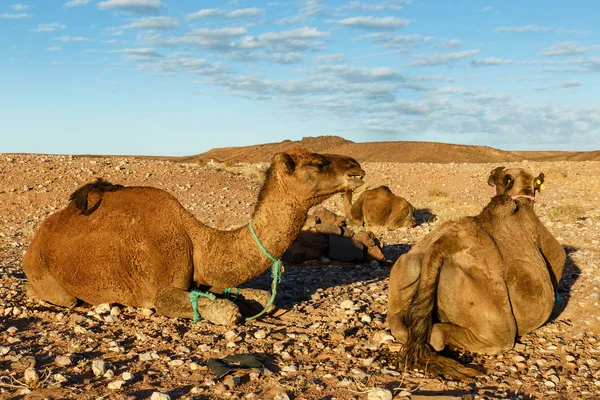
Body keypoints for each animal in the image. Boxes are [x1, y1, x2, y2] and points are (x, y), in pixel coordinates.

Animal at [22, 150, 366, 324]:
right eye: (319, 163)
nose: (357, 167)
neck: (200, 242)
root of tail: (36, 239)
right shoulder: (159, 291)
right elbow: (227, 312)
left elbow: (254, 297)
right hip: (44, 274)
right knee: (58, 296)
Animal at [386, 168, 564, 378]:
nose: (493, 172)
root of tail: (438, 249)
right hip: (489, 307)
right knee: (494, 336)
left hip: (405, 266)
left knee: (399, 323)